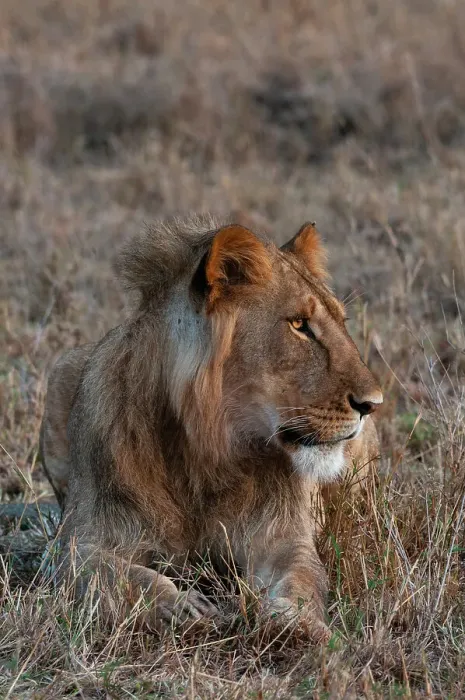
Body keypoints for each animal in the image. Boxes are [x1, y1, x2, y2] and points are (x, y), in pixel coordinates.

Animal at [40, 214, 382, 643]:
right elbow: (120, 576)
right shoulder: (76, 545)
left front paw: (294, 622)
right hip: (62, 368)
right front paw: (182, 609)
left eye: (341, 322)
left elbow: (302, 579)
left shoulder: (285, 536)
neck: (204, 453)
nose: (373, 403)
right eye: (300, 325)